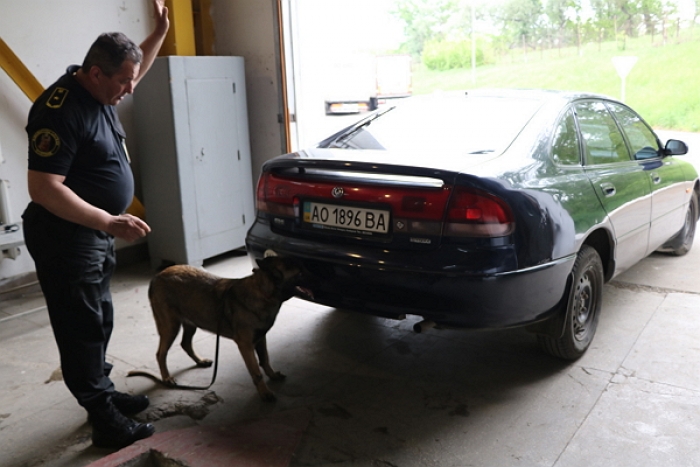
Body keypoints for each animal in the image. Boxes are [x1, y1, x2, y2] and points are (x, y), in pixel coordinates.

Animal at [145, 256, 308, 402]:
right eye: (300, 273)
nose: (312, 273)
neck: (262, 292)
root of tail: (157, 276)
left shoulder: (261, 338)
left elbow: (265, 360)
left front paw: (272, 376)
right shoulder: (246, 346)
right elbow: (256, 372)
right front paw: (265, 393)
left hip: (191, 324)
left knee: (185, 344)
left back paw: (200, 361)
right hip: (171, 327)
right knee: (160, 353)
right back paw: (166, 378)